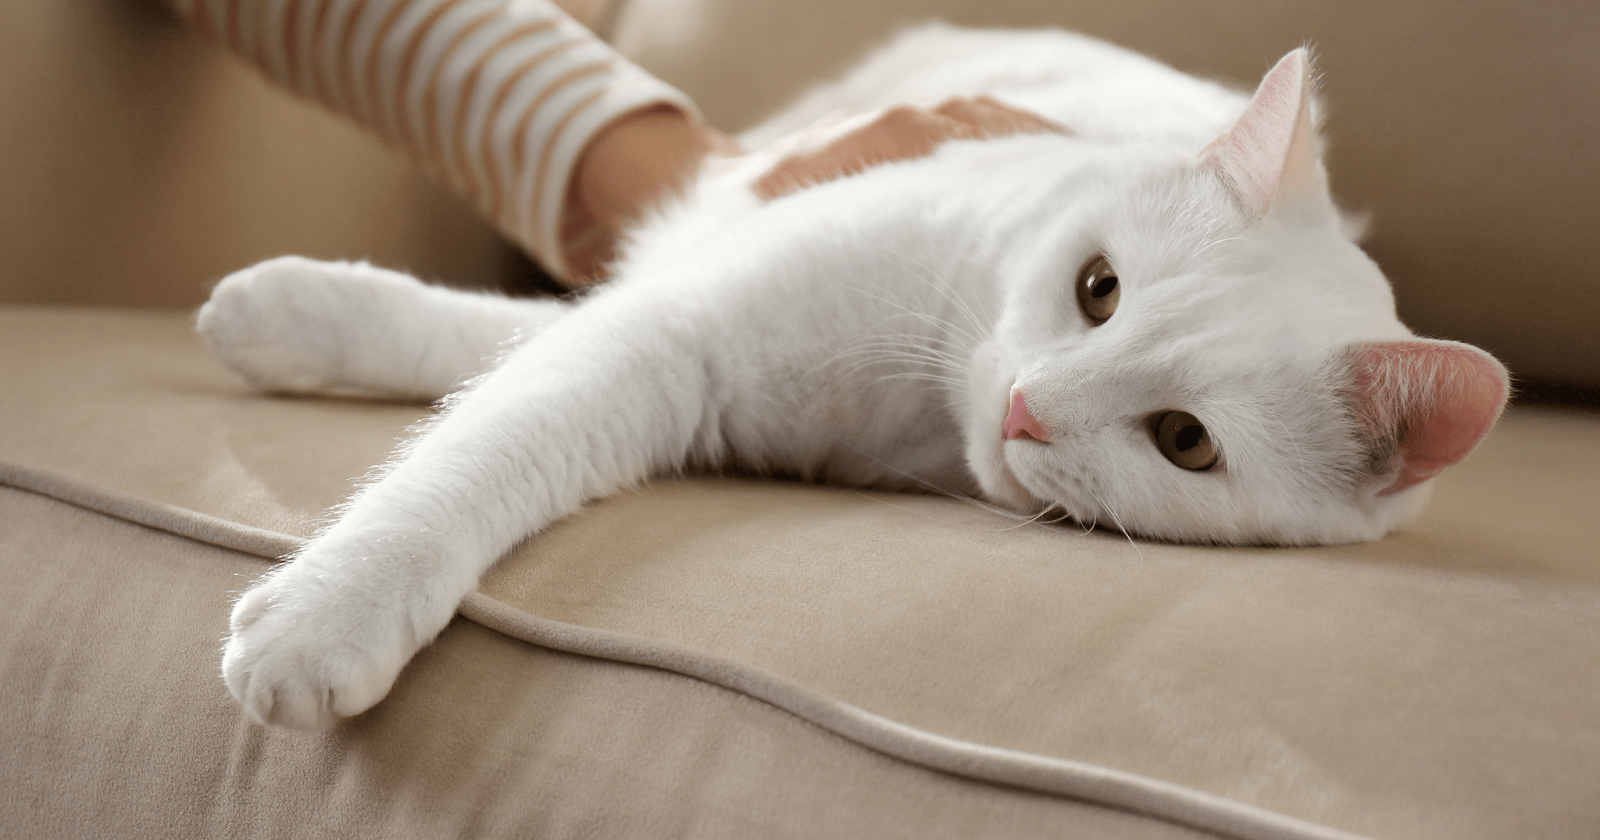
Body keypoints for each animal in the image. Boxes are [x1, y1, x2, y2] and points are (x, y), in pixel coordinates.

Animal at [193, 26, 1504, 726]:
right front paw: (329, 606)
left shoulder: (668, 354)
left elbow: (504, 392)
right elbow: (482, 432)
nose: (1027, 406)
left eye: (1185, 442)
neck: (915, 415)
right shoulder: (682, 323)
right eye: (1098, 289)